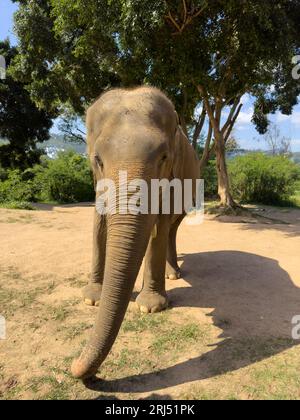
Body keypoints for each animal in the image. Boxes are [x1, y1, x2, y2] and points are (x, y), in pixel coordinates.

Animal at [71, 87, 199, 378]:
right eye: (97, 160)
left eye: (163, 157)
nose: (72, 366)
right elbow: (98, 223)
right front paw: (92, 299)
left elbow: (159, 225)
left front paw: (150, 306)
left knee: (173, 226)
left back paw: (173, 274)